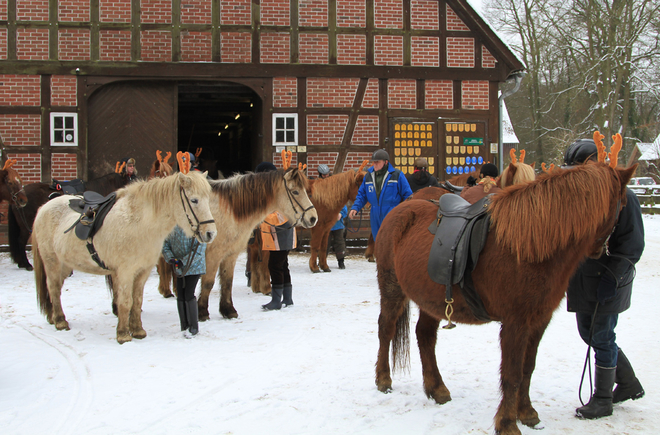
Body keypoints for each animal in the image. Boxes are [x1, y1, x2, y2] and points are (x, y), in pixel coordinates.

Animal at [32, 156, 217, 344]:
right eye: (194, 200)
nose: (210, 233)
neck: (140, 223)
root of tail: (43, 208)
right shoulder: (125, 272)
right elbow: (125, 301)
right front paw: (123, 334)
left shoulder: (142, 271)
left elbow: (137, 300)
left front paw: (138, 330)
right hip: (52, 262)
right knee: (53, 287)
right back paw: (60, 321)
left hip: (65, 265)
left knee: (55, 288)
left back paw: (53, 317)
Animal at [372, 137, 636, 435]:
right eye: (622, 204)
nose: (601, 251)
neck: (529, 244)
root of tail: (400, 209)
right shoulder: (515, 322)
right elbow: (511, 373)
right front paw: (508, 423)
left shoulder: (539, 321)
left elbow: (527, 368)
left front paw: (528, 413)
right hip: (392, 289)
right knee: (386, 328)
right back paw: (383, 379)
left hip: (431, 298)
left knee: (425, 336)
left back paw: (437, 389)